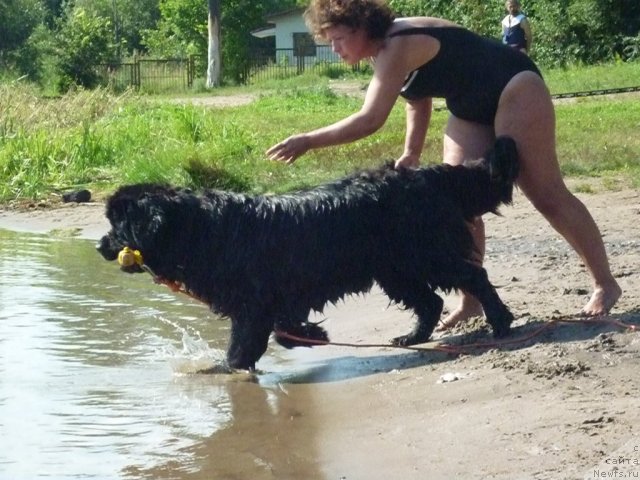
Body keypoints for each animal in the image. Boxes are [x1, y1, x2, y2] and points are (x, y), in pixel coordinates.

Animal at [99, 137, 520, 370]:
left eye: (118, 225)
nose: (99, 245)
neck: (203, 230)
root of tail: (428, 174)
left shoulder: (253, 303)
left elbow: (243, 345)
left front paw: (225, 369)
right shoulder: (272, 299)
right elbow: (281, 329)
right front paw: (310, 334)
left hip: (427, 253)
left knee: (474, 276)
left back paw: (500, 321)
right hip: (395, 268)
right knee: (429, 300)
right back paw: (412, 337)